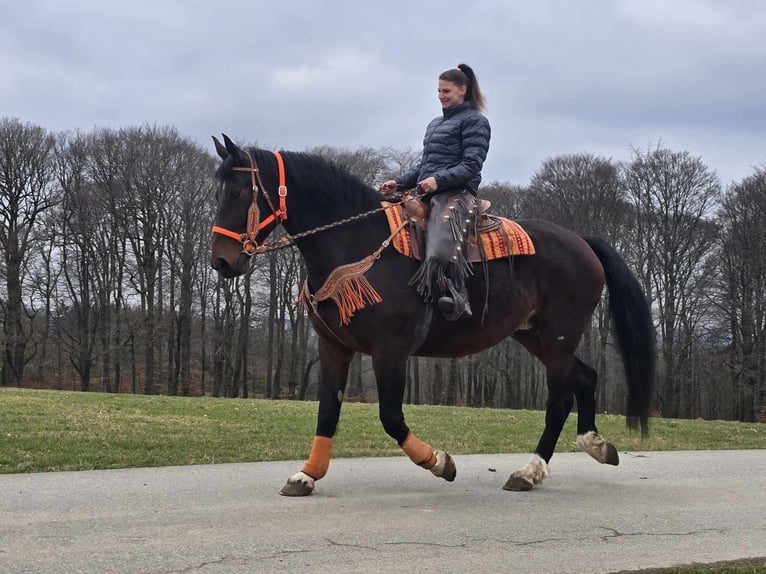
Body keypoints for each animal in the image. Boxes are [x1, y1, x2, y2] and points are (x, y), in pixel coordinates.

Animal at [212, 136, 660, 500]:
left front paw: (440, 462)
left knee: (559, 400)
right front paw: (306, 475)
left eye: (237, 192)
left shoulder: (390, 351)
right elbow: (328, 412)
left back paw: (529, 472)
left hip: (559, 336)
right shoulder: (333, 347)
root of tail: (581, 241)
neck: (357, 245)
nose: (221, 261)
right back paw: (595, 445)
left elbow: (391, 418)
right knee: (586, 377)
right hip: (536, 336)